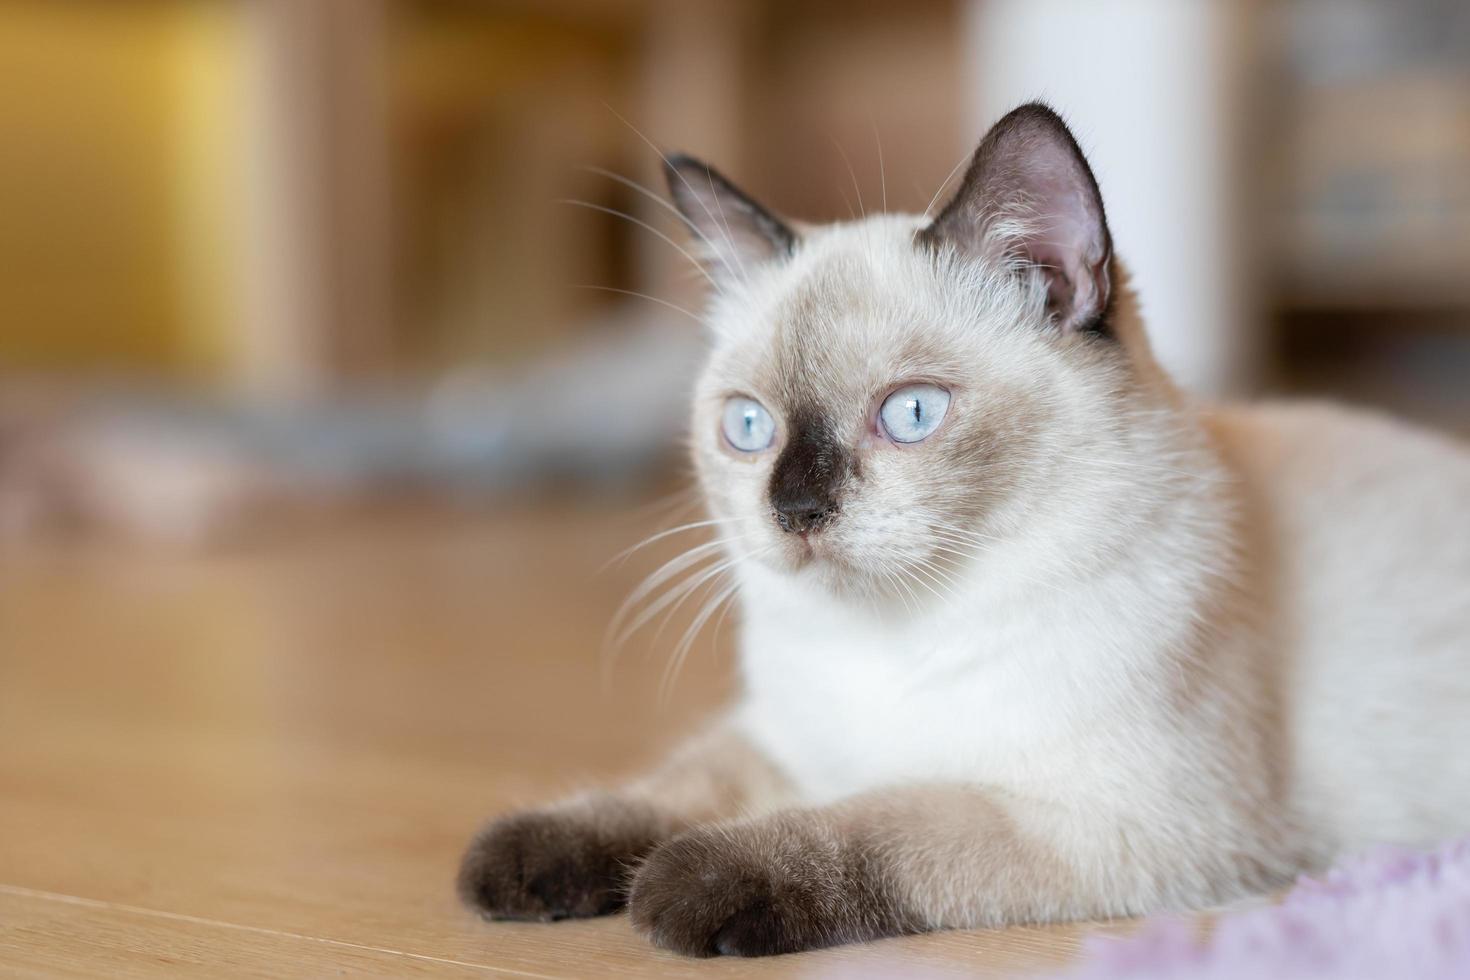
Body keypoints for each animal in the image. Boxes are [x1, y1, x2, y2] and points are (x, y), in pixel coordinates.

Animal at [452, 101, 1464, 957]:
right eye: (748, 428)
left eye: (911, 415)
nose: (794, 511)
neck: (892, 640)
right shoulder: (782, 737)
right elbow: (663, 789)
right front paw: (514, 864)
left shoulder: (1112, 823)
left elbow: (874, 825)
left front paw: (671, 892)